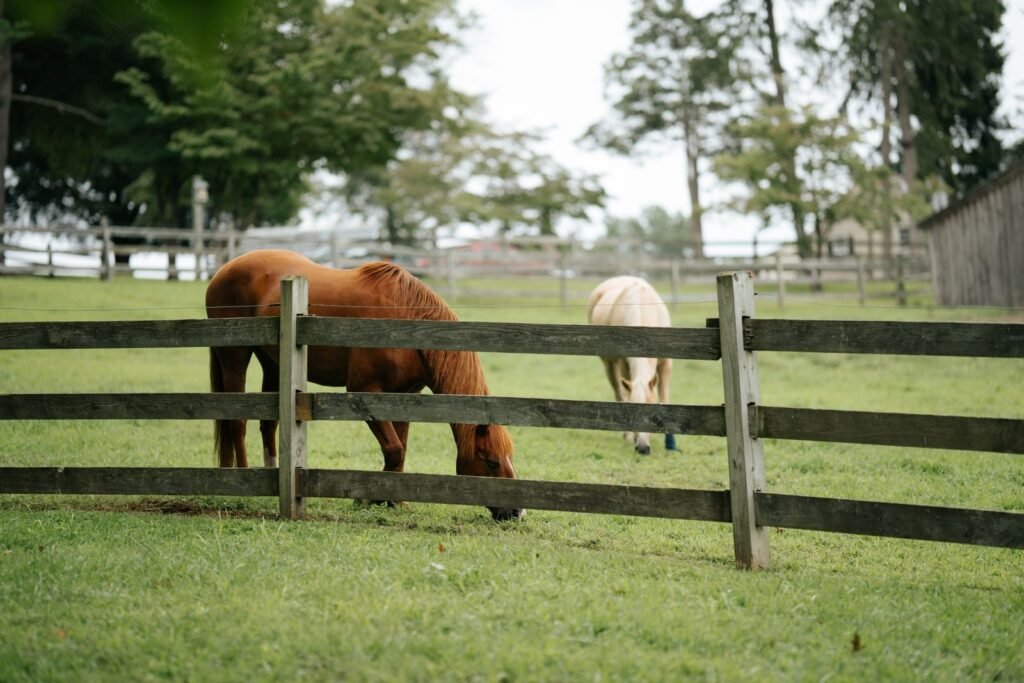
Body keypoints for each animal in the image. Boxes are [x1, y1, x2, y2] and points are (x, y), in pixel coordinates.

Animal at [205, 249, 523, 521]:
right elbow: (394, 449)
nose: (517, 512)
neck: (406, 323)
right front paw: (371, 498)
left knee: (267, 423)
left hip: (272, 363)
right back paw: (244, 476)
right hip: (234, 357)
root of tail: (224, 269)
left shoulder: (403, 396)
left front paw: (395, 500)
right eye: (491, 461)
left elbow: (400, 450)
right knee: (237, 421)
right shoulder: (364, 392)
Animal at [587, 275, 677, 455]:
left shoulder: (666, 363)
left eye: (653, 415)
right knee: (620, 394)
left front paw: (670, 442)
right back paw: (626, 436)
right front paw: (631, 437)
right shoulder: (624, 364)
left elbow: (664, 398)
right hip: (609, 364)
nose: (642, 448)